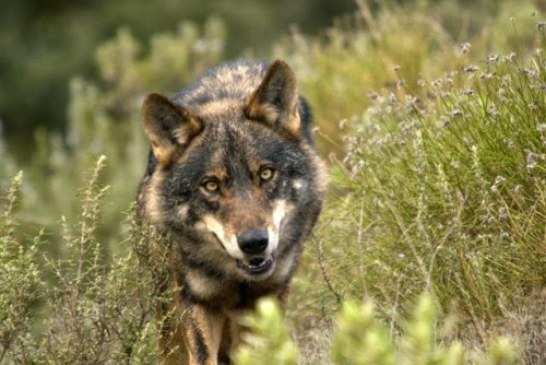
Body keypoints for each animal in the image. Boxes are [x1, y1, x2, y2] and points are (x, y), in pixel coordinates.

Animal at [136, 58, 326, 362]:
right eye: (211, 185)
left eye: (266, 173)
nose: (254, 243)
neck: (237, 279)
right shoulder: (197, 303)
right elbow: (203, 357)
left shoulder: (268, 297)